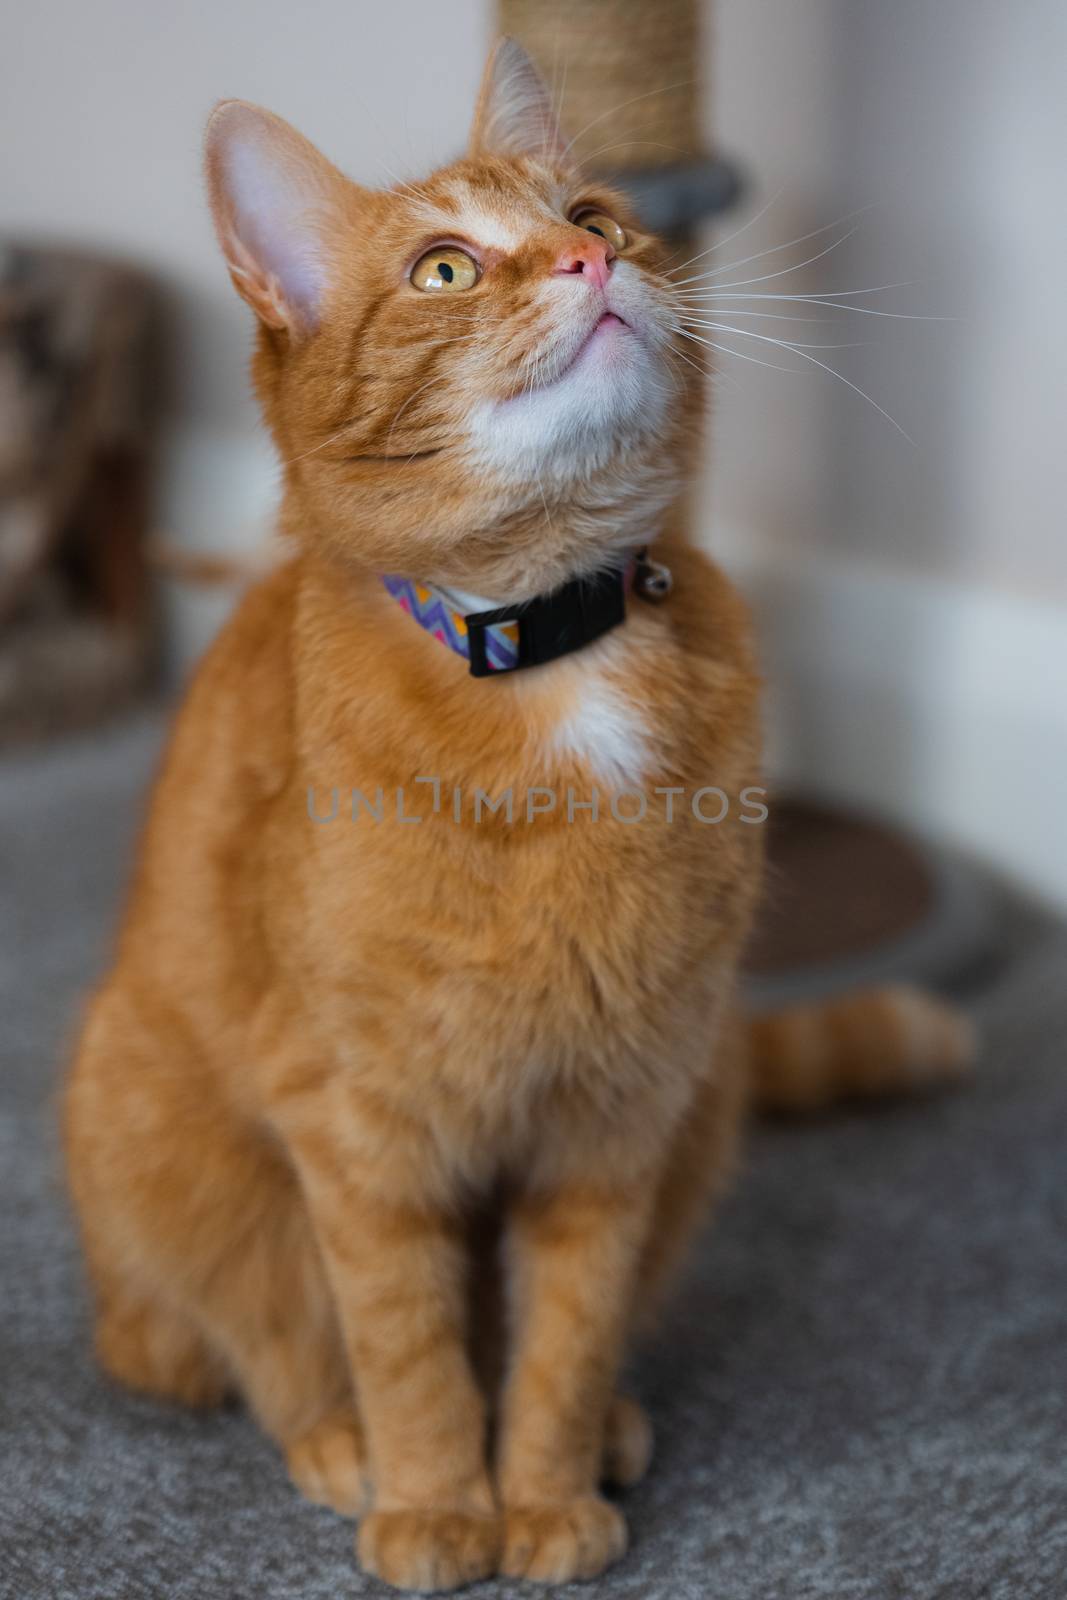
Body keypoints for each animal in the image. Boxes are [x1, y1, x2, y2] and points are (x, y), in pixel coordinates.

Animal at [62, 43, 972, 1593]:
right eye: (443, 268)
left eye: (594, 212)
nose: (585, 257)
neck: (548, 649)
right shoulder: (364, 1136)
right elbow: (410, 1347)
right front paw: (436, 1505)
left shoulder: (611, 1124)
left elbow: (558, 1336)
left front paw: (539, 1494)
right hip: (154, 1122)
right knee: (218, 1335)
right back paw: (334, 1441)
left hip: (701, 1100)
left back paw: (602, 1430)